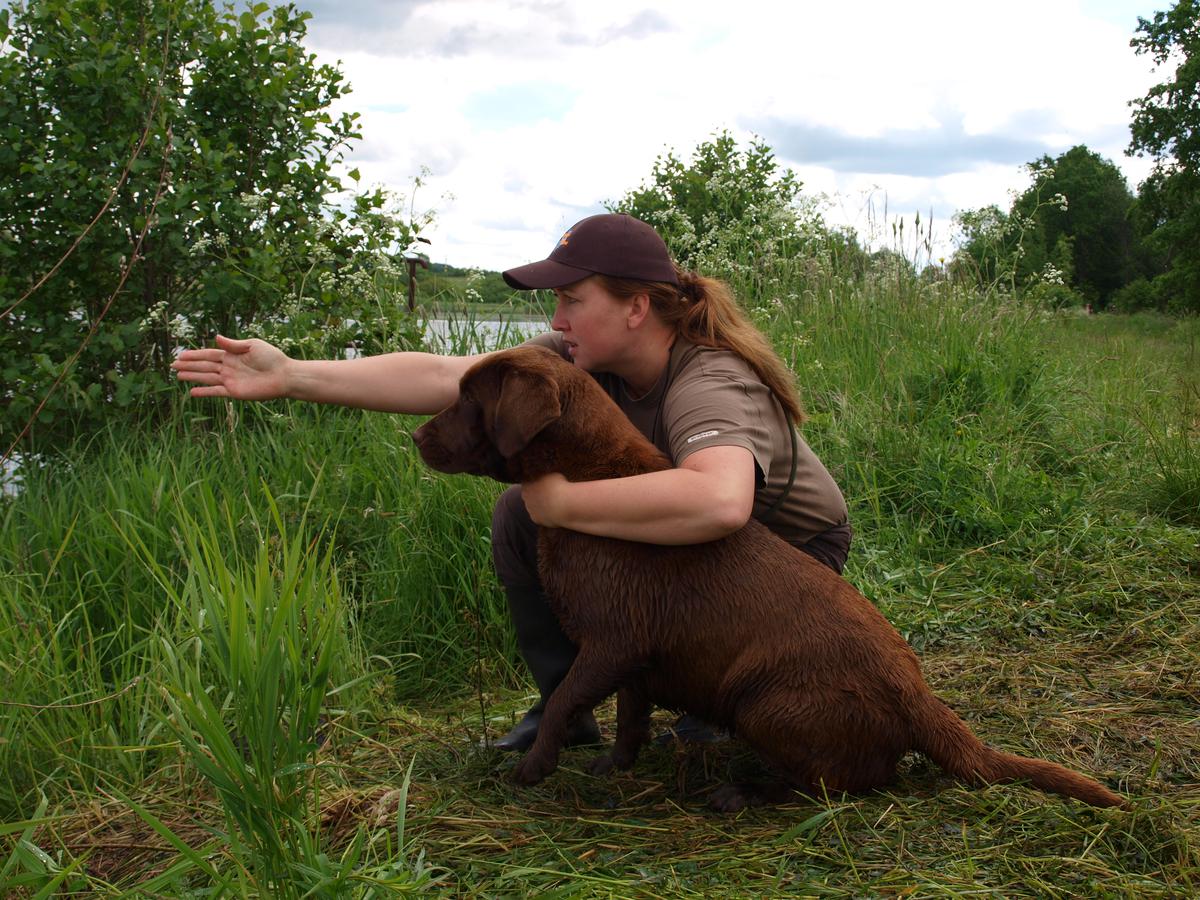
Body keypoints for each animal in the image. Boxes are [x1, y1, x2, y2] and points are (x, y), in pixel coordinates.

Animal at [412, 345, 1123, 811]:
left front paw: (534, 768)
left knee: (838, 784)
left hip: (765, 703)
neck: (591, 473)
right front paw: (612, 768)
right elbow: (631, 718)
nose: (416, 437)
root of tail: (920, 699)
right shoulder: (636, 659)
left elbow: (564, 700)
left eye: (469, 400)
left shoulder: (611, 642)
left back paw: (739, 791)